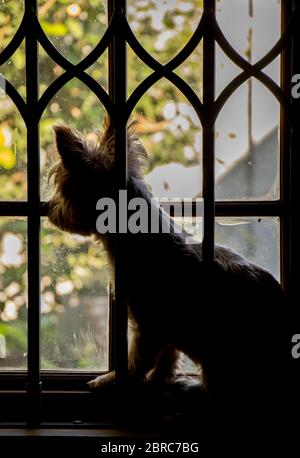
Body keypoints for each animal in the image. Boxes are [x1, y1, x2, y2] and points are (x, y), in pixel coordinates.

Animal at [48, 115, 290, 436]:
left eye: (62, 187)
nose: (49, 209)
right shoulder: (166, 331)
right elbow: (167, 358)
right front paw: (157, 383)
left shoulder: (149, 326)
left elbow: (136, 363)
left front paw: (112, 381)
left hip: (223, 362)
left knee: (229, 404)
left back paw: (194, 392)